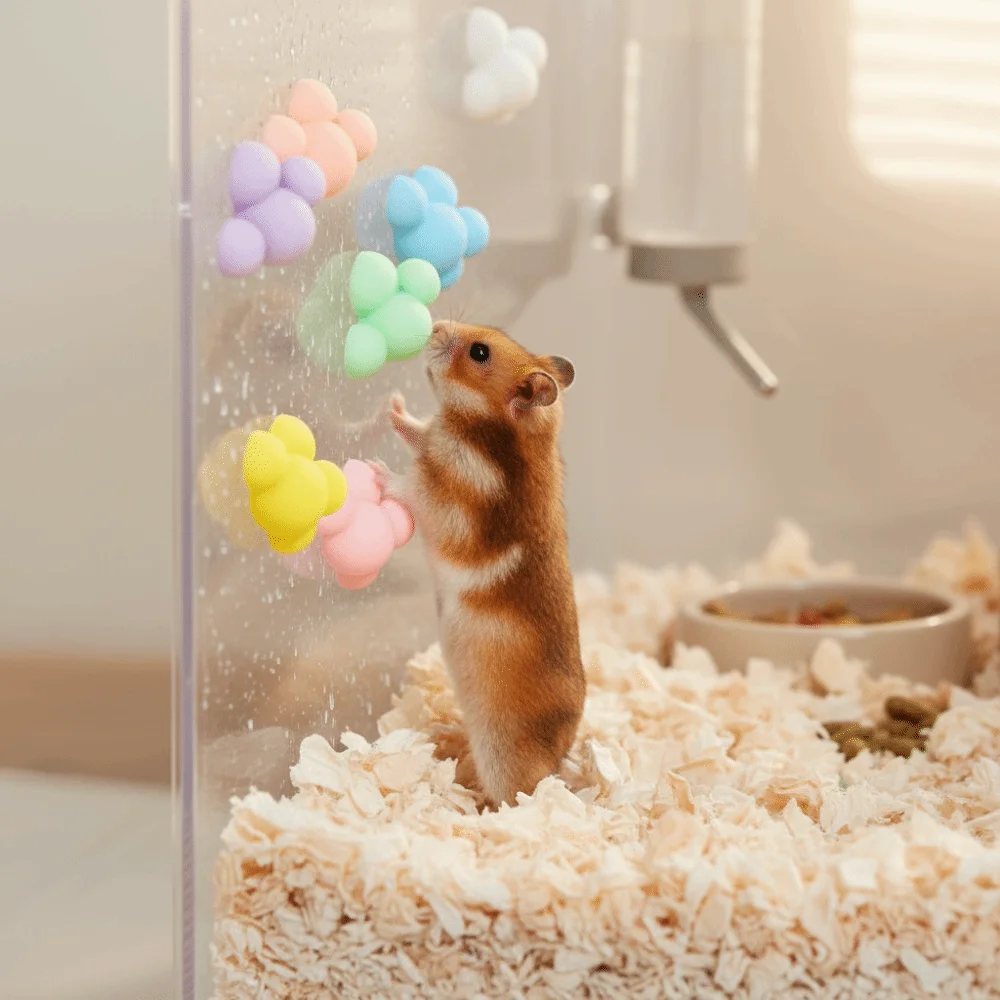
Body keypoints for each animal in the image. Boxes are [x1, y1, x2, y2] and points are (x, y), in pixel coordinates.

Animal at [371, 320, 585, 808]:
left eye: (480, 352)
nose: (433, 325)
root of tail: (557, 764)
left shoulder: (448, 499)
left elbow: (413, 488)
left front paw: (376, 472)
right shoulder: (434, 437)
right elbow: (417, 429)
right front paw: (391, 402)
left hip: (502, 754)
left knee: (518, 792)